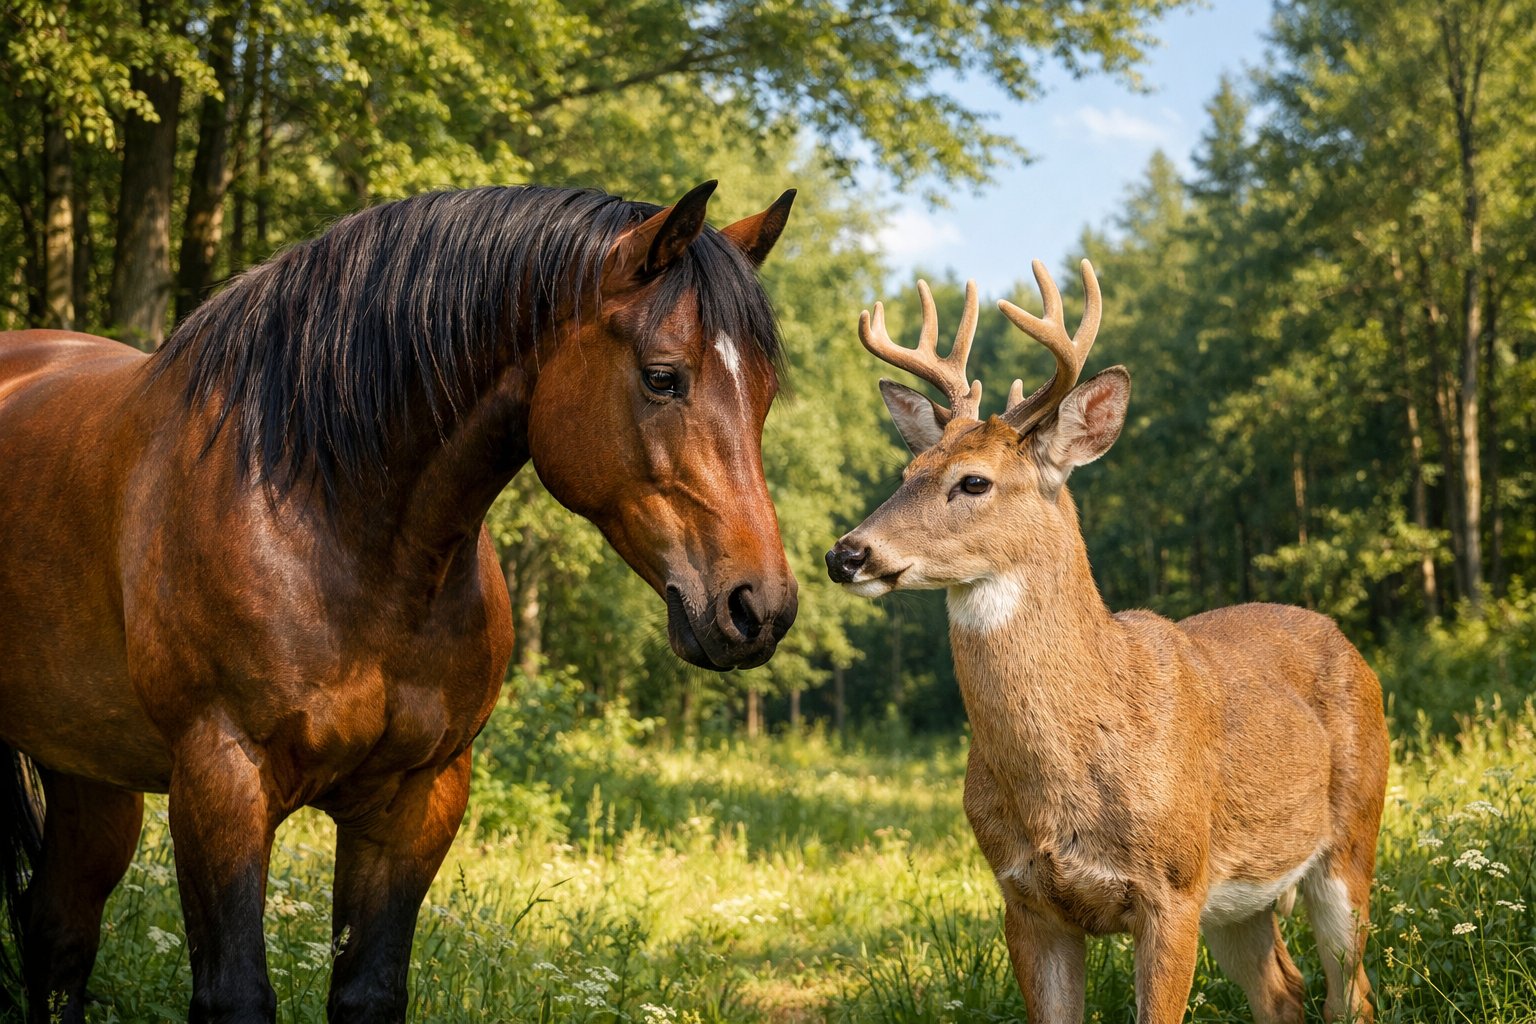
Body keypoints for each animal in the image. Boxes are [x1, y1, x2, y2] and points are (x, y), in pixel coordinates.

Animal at [0, 179, 799, 1022]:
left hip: (89, 772)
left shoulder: (418, 797)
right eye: (662, 376)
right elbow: (237, 993)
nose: (759, 607)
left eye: (765, 393)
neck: (329, 518)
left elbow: (369, 989)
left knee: (59, 932)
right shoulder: (221, 782)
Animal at [824, 262, 1388, 1023]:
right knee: (1283, 988)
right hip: (1239, 897)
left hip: (1352, 835)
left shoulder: (1173, 888)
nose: (847, 554)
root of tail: (1349, 645)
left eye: (973, 481)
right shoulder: (1024, 899)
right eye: (905, 476)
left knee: (1351, 990)